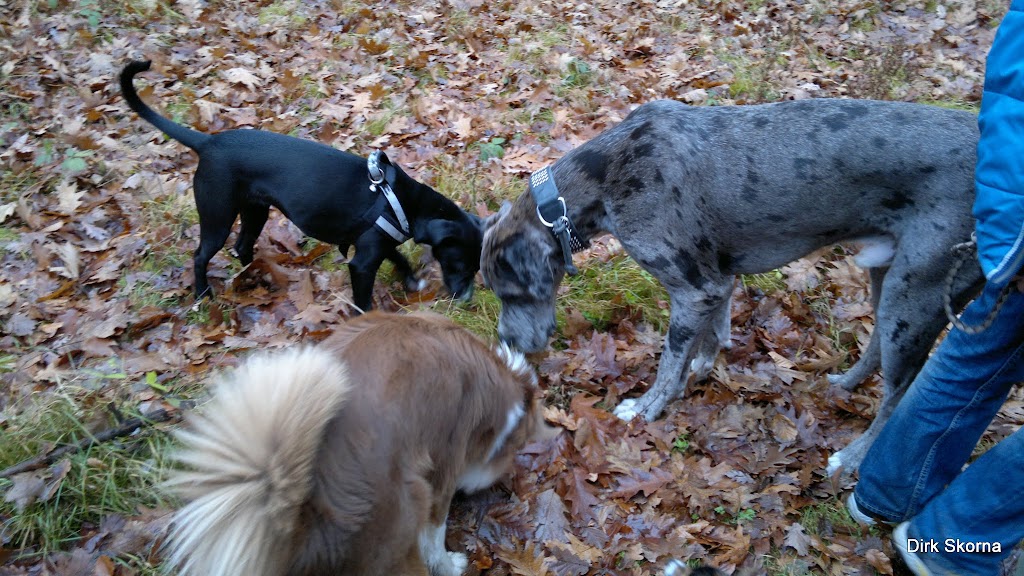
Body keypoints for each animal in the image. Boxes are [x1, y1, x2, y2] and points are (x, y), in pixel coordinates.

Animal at [121, 59, 481, 309]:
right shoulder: (363, 263)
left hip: (255, 212)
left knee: (242, 247)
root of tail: (207, 142)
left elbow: (400, 258)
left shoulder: (376, 243)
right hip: (217, 215)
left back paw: (256, 274)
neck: (400, 200)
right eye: (460, 264)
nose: (465, 298)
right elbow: (364, 301)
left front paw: (410, 280)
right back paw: (203, 294)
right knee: (200, 256)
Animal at [161, 311, 552, 573]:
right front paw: (450, 564)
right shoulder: (444, 469)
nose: (503, 482)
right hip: (404, 512)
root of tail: (301, 523)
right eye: (515, 449)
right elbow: (434, 535)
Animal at [483, 98, 987, 471]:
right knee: (877, 346)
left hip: (915, 297)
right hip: (889, 278)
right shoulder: (715, 282)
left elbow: (668, 363)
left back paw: (851, 458)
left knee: (898, 397)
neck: (604, 174)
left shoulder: (693, 289)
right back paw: (844, 384)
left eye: (512, 293)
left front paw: (647, 408)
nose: (507, 341)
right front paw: (703, 365)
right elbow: (710, 335)